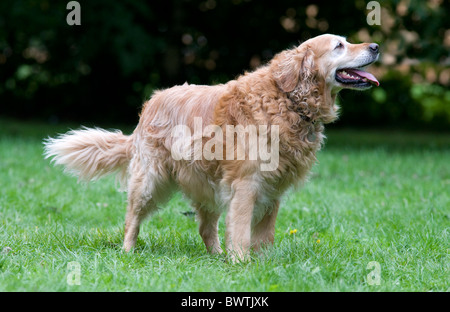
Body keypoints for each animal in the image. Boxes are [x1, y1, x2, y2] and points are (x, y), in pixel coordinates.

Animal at [44, 34, 378, 262]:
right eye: (339, 46)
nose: (375, 47)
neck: (287, 100)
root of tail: (152, 101)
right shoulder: (246, 184)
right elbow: (241, 231)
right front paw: (242, 263)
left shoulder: (272, 191)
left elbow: (264, 233)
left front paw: (264, 262)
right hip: (149, 181)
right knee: (132, 219)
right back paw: (128, 251)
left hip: (208, 184)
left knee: (206, 229)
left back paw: (216, 256)